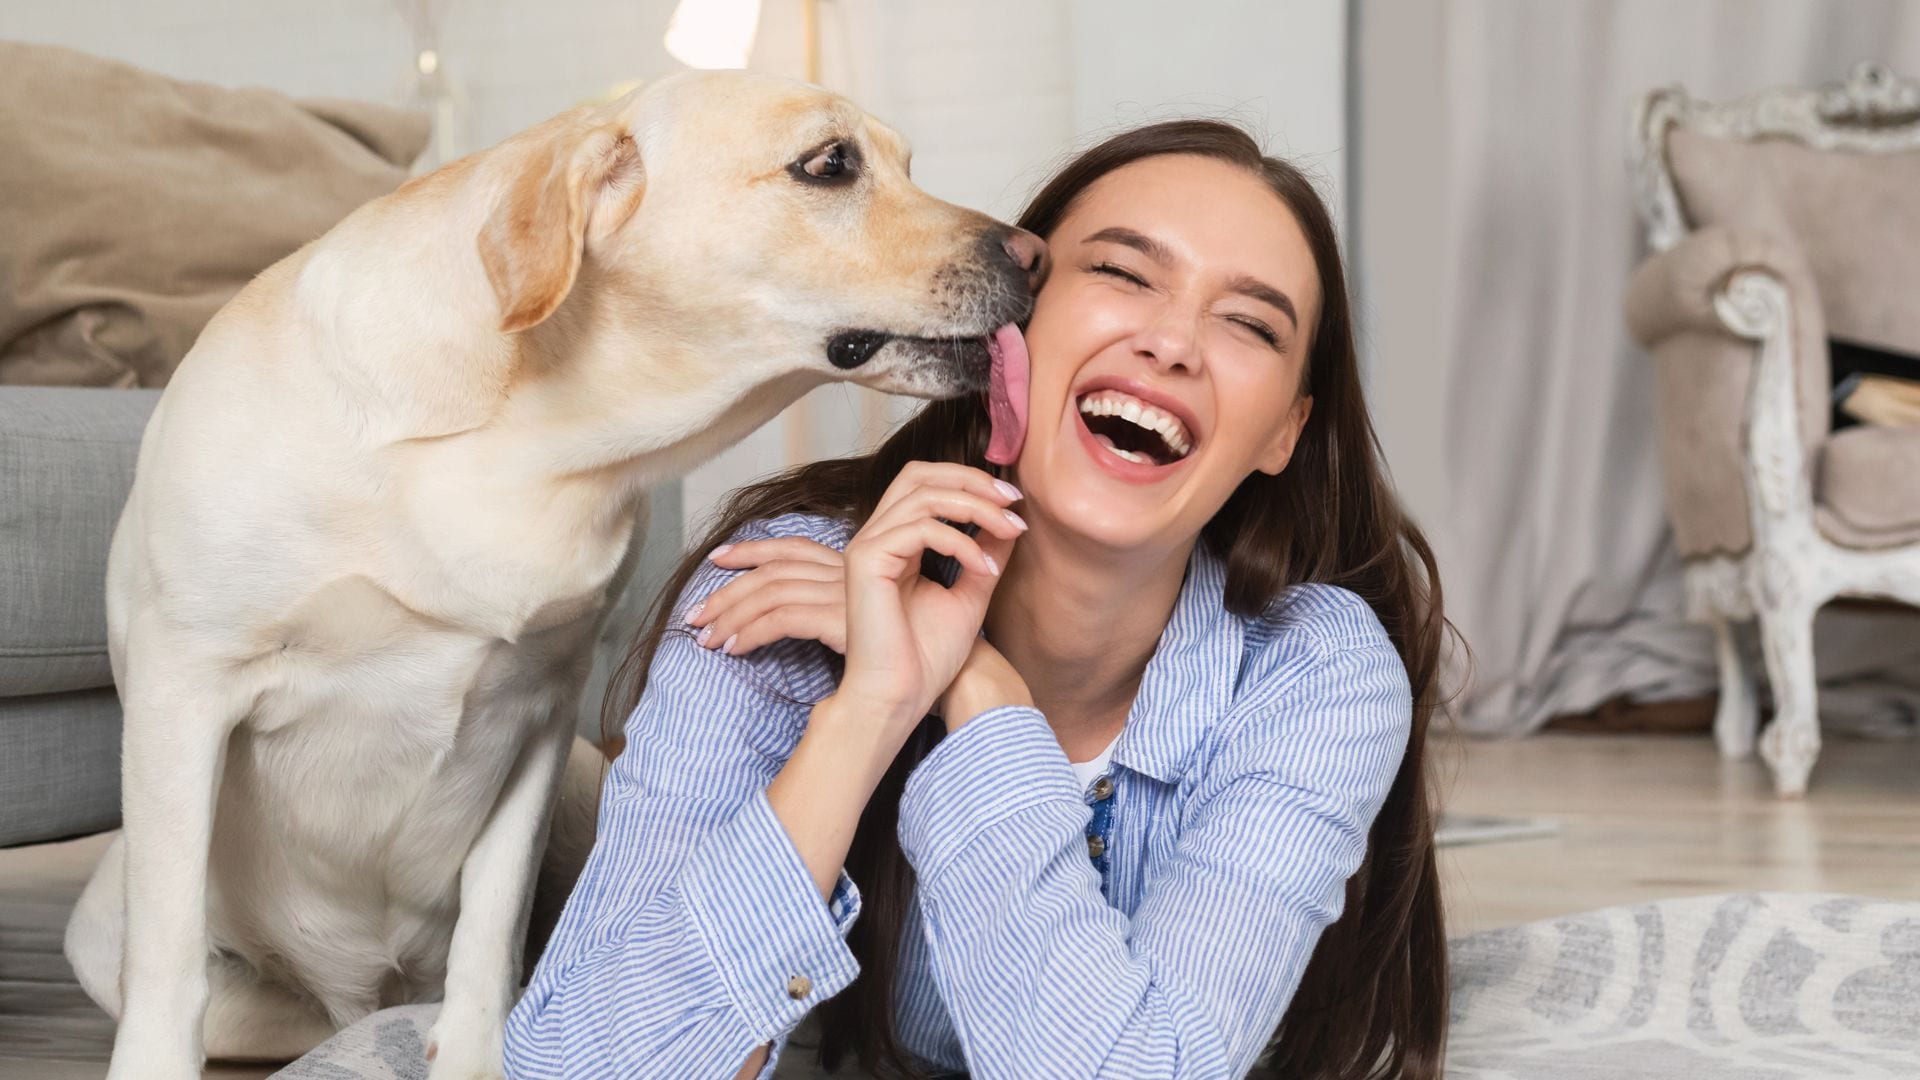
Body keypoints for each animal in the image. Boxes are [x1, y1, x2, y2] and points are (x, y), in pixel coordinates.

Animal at [63, 69, 1036, 1076]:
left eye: (905, 163)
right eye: (830, 164)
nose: (1035, 255)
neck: (527, 442)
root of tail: (364, 994)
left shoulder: (540, 703)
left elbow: (492, 924)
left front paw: (475, 1049)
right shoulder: (186, 685)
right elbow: (171, 958)